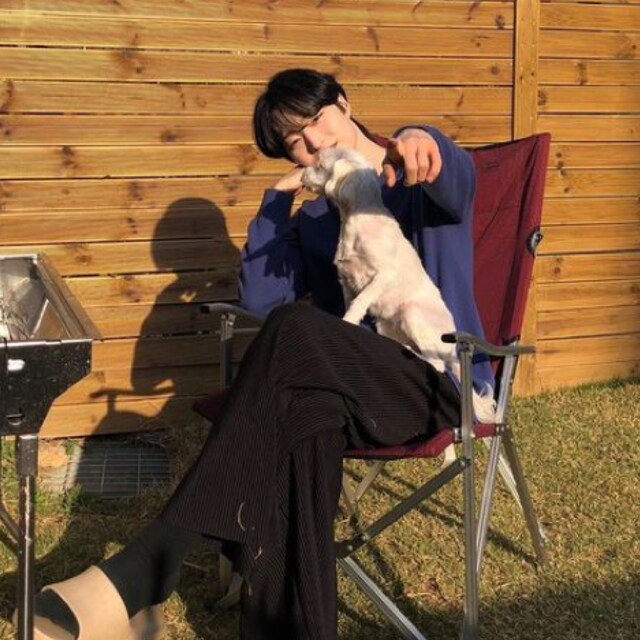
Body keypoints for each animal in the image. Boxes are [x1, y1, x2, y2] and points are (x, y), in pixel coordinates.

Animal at [302, 147, 496, 462]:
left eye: (319, 164)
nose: (302, 171)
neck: (355, 224)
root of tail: (455, 350)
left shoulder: (381, 276)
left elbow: (359, 303)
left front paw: (346, 322)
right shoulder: (346, 281)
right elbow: (352, 304)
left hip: (412, 313)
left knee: (434, 364)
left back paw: (413, 352)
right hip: (387, 324)